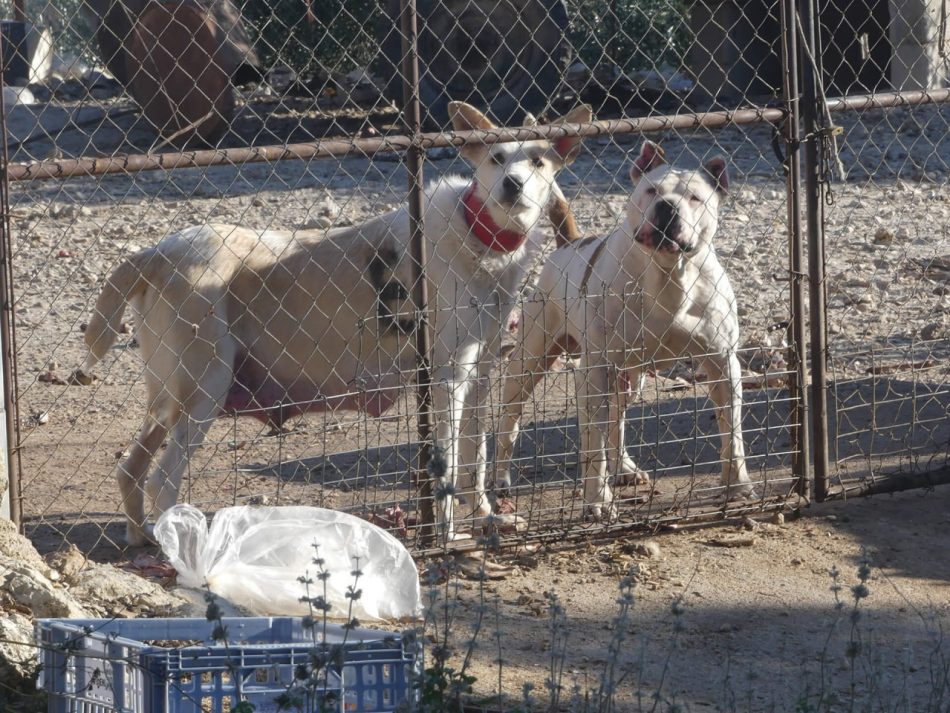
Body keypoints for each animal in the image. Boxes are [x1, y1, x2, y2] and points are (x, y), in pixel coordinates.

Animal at [78, 101, 592, 544]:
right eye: (497, 158)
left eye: (539, 162)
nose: (512, 185)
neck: (480, 238)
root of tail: (159, 251)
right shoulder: (448, 379)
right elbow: (446, 465)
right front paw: (446, 536)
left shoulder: (480, 374)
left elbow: (475, 457)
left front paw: (484, 513)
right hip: (204, 390)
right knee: (163, 480)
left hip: (169, 400)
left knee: (131, 470)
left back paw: (142, 539)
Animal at [494, 140, 756, 516]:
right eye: (651, 190)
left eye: (695, 197)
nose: (667, 207)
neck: (667, 273)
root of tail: (570, 242)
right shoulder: (595, 369)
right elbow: (593, 446)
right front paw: (597, 500)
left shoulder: (723, 363)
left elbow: (731, 431)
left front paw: (738, 484)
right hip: (532, 361)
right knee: (512, 418)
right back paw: (500, 477)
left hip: (628, 376)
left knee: (615, 420)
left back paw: (624, 469)